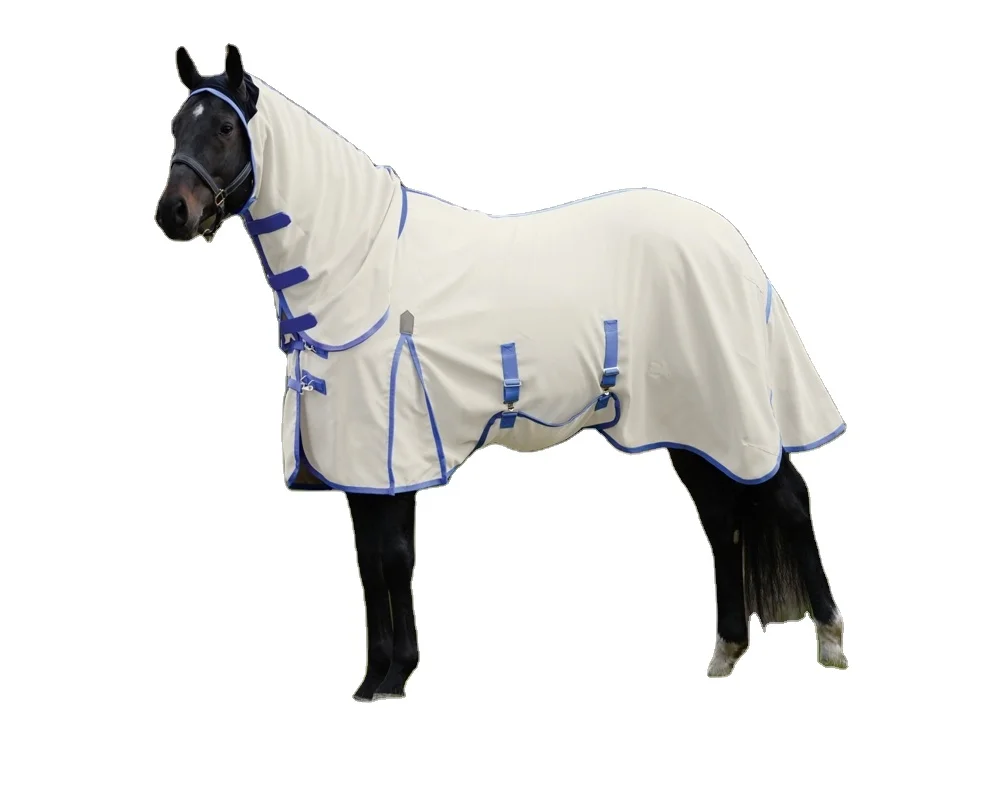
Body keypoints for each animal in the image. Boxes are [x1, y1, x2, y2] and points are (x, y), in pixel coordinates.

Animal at [155, 44, 848, 701]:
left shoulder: (393, 455)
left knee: (788, 500)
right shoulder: (363, 468)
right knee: (720, 518)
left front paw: (394, 677)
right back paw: (726, 649)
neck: (358, 267)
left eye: (224, 127)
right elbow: (369, 563)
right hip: (689, 424)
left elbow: (392, 559)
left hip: (728, 411)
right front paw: (373, 678)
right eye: (174, 127)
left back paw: (831, 639)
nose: (172, 215)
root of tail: (736, 247)